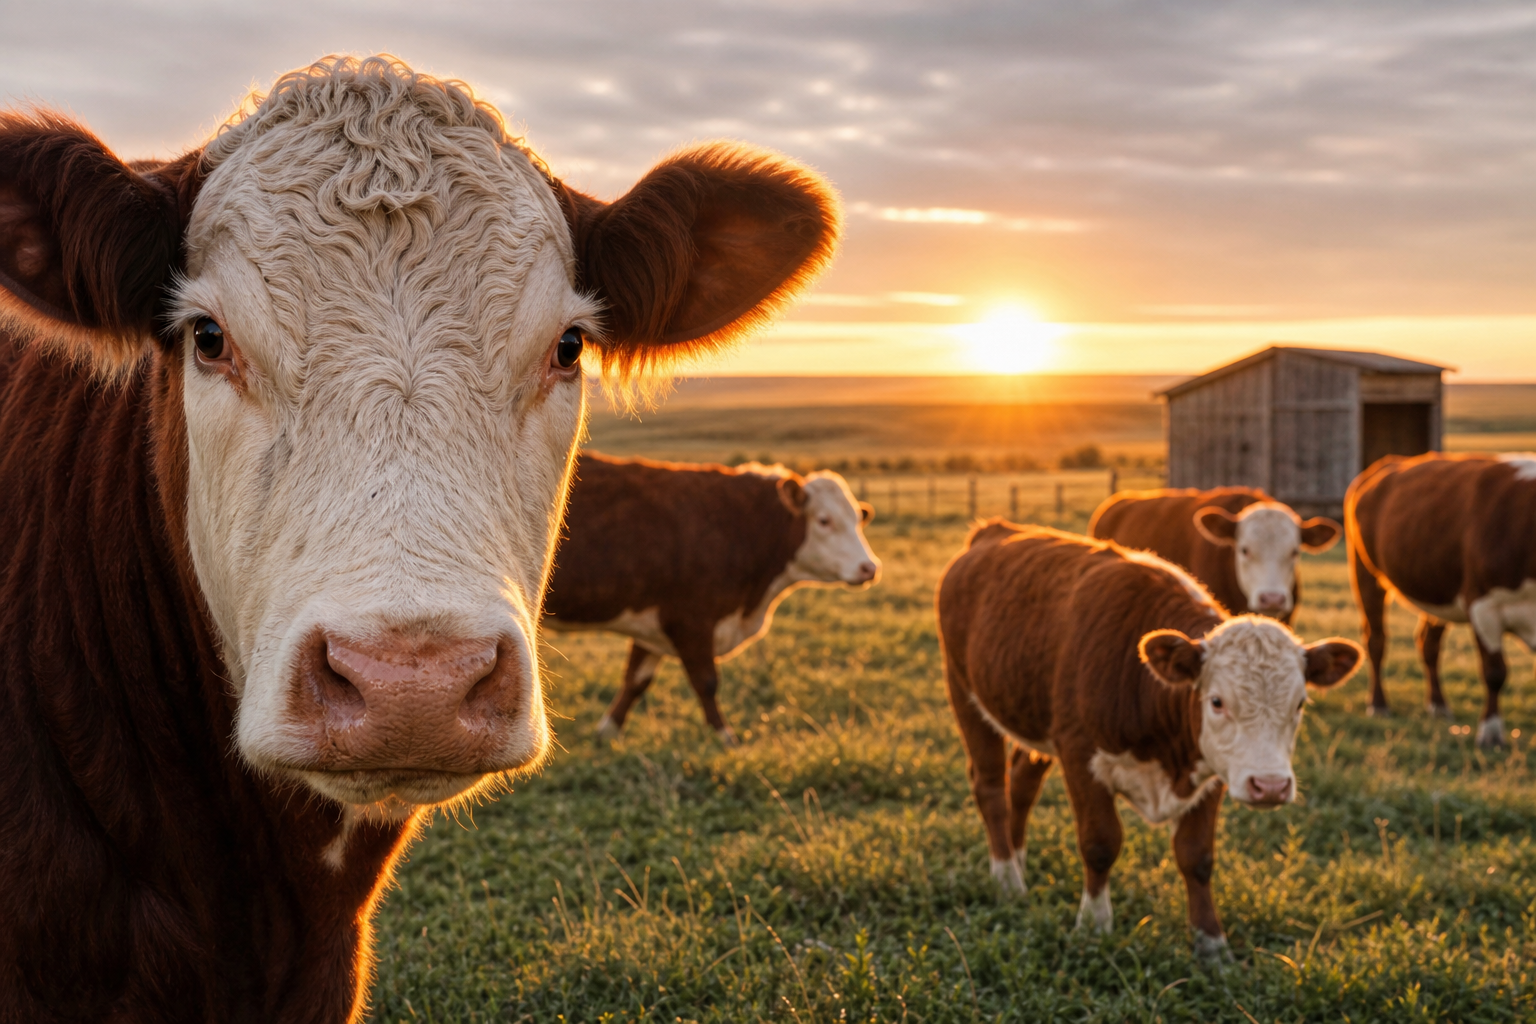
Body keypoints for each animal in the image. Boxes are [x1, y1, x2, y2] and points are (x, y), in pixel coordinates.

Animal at [544, 453, 879, 743]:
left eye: (858, 521)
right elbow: (706, 682)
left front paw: (608, 731)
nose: (870, 567)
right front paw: (725, 736)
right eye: (824, 520)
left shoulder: (654, 624)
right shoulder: (691, 621)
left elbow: (636, 680)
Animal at [936, 521, 1360, 957]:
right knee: (989, 786)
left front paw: (1210, 940)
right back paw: (1006, 877)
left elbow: (1196, 856)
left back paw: (1018, 859)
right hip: (964, 692)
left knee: (1021, 783)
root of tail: (994, 529)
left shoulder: (1212, 768)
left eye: (1299, 703)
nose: (1270, 786)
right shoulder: (1080, 754)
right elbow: (1100, 843)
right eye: (1217, 702)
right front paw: (1094, 923)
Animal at [1346, 452, 1536, 746]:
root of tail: (1390, 461)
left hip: (1436, 587)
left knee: (1428, 644)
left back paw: (1438, 705)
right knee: (1376, 641)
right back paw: (1378, 705)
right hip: (1366, 573)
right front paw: (1490, 732)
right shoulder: (1483, 606)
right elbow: (1495, 672)